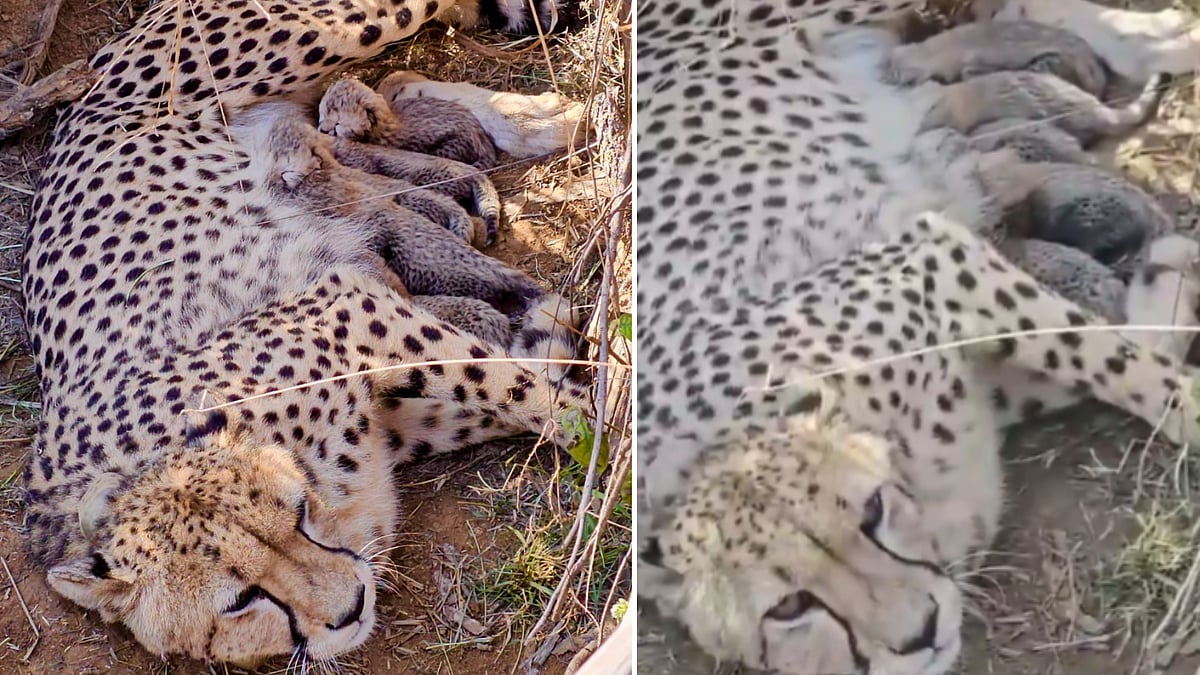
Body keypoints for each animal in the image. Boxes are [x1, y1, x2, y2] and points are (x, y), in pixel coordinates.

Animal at [634, 1, 1200, 674]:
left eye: (872, 513)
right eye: (788, 607)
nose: (921, 632)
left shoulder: (935, 257)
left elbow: (1109, 358)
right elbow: (1112, 343)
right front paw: (1165, 283)